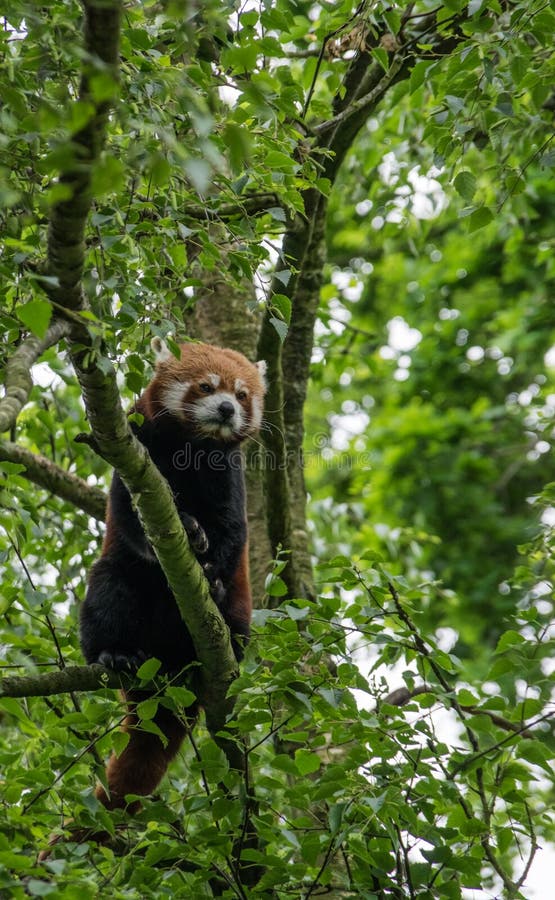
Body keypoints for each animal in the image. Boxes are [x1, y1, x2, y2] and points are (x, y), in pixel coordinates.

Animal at [80, 340, 268, 816]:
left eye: (242, 395)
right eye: (206, 387)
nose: (226, 409)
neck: (193, 444)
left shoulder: (228, 474)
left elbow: (231, 531)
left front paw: (209, 563)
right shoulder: (133, 451)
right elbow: (131, 518)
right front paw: (186, 527)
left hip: (240, 613)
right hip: (118, 586)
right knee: (108, 589)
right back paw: (115, 654)